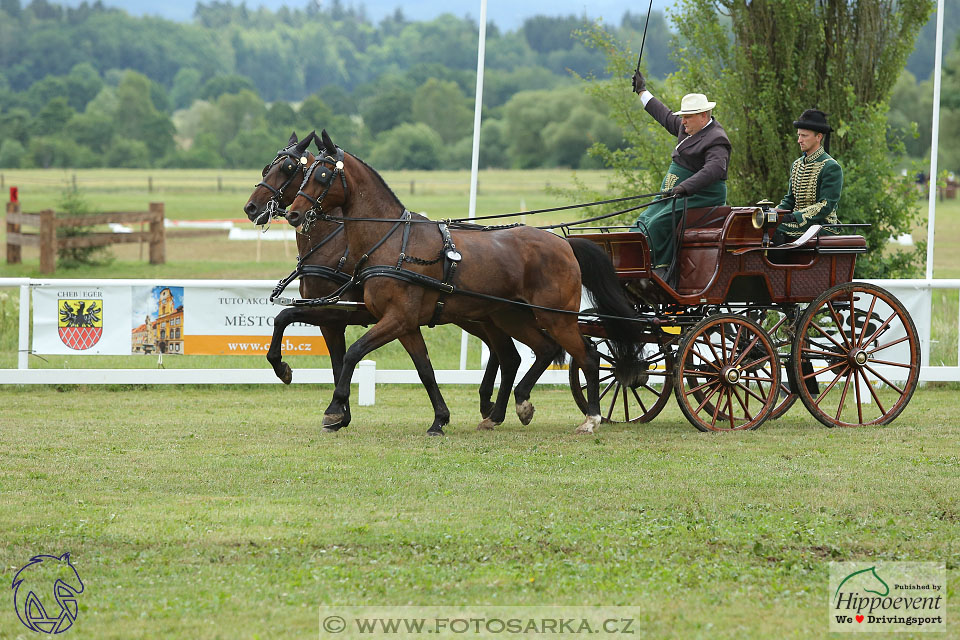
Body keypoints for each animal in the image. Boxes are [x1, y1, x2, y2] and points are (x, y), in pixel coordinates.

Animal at [242, 132, 564, 428]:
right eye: (268, 168)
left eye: (289, 169)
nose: (251, 208)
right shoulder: (337, 315)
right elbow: (305, 335)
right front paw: (338, 410)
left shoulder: (339, 313)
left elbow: (326, 346)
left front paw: (330, 404)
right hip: (482, 316)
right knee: (507, 356)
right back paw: (492, 407)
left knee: (509, 355)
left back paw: (497, 406)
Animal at [284, 129, 640, 436]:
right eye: (304, 171)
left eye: (322, 174)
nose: (293, 214)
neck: (393, 241)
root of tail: (564, 244)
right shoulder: (405, 324)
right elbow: (425, 371)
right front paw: (439, 420)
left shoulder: (395, 318)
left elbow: (352, 353)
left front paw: (334, 411)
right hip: (510, 316)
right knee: (539, 351)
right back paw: (515, 405)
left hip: (555, 317)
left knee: (587, 356)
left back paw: (591, 418)